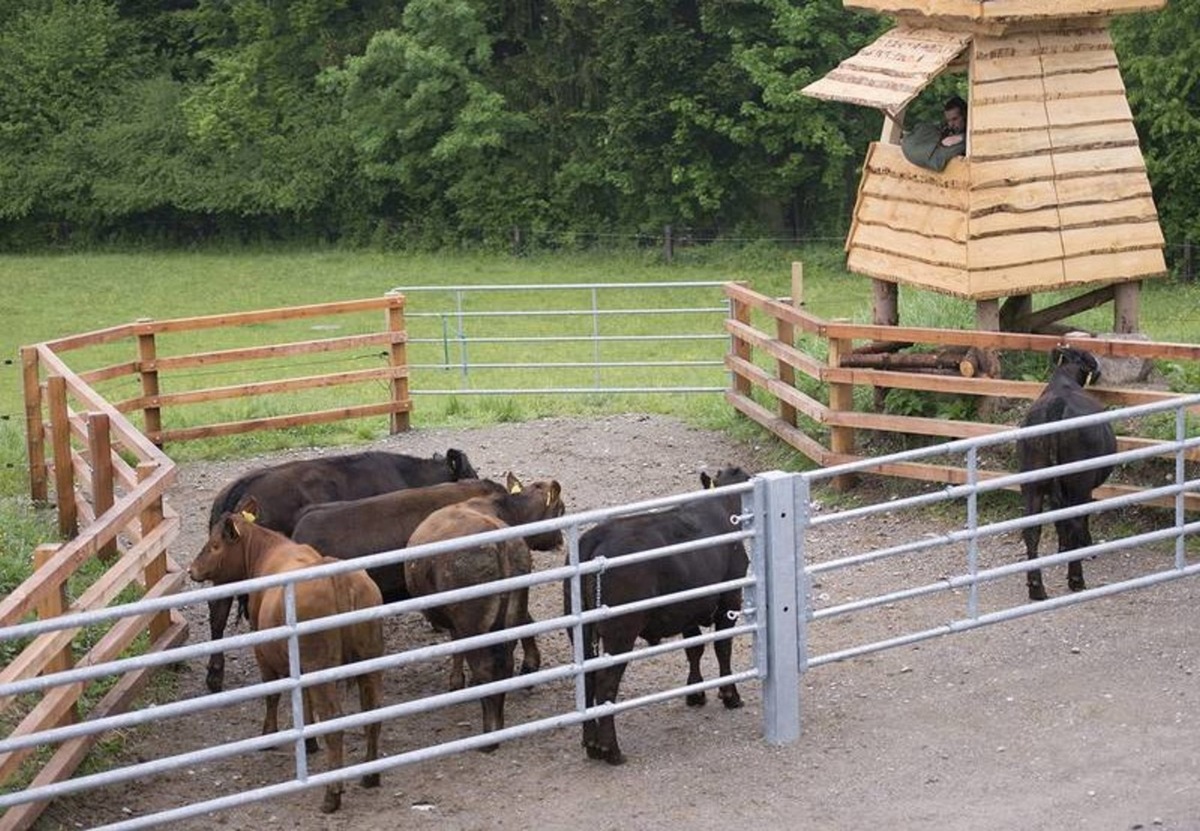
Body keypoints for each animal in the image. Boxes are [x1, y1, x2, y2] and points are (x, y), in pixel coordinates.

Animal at [564, 463, 748, 763]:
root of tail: (597, 535)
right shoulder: (729, 600)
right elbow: (722, 648)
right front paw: (730, 695)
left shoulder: (687, 607)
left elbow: (694, 648)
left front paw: (695, 693)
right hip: (621, 631)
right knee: (605, 683)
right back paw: (611, 750)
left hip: (580, 632)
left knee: (588, 679)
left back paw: (591, 745)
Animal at [1022, 348, 1113, 600]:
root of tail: (1058, 403)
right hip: (1078, 481)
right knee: (1074, 521)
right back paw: (1076, 579)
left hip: (1032, 481)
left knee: (1032, 529)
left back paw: (1037, 588)